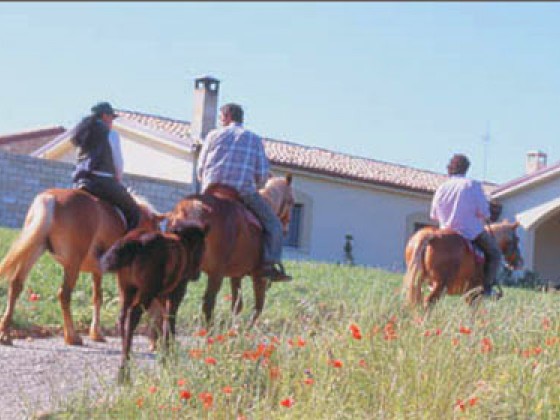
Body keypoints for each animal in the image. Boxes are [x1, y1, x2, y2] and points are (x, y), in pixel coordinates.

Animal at [0, 189, 164, 346]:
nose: (157, 341)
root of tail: (51, 198)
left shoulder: (98, 270)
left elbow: (98, 297)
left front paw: (96, 333)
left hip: (36, 248)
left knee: (16, 284)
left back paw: (5, 334)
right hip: (72, 263)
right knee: (64, 294)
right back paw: (72, 337)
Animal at [100, 221, 208, 382]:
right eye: (202, 248)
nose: (197, 275)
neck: (183, 243)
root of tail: (134, 242)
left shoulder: (161, 296)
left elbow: (163, 321)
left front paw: (167, 355)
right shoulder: (175, 293)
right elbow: (170, 320)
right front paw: (169, 358)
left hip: (126, 288)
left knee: (122, 317)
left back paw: (124, 367)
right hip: (146, 291)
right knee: (133, 315)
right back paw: (126, 371)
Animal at [165, 174, 294, 324]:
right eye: (292, 201)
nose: (286, 230)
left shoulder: (236, 275)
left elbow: (237, 305)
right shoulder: (259, 277)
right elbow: (257, 307)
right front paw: (247, 328)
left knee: (173, 302)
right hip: (216, 273)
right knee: (208, 303)